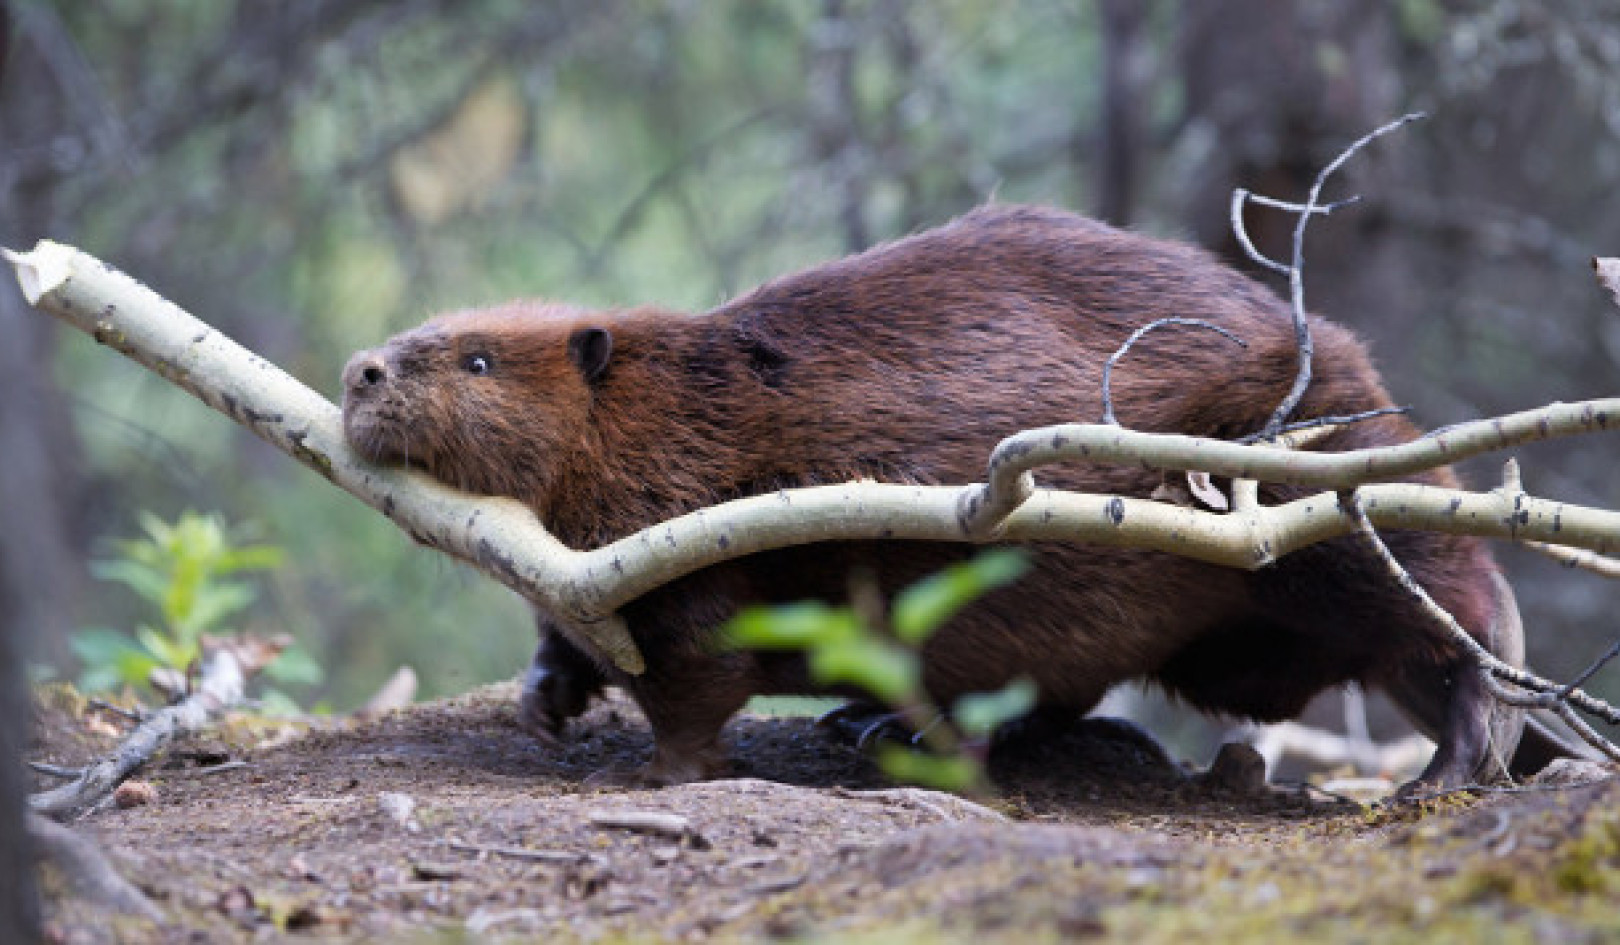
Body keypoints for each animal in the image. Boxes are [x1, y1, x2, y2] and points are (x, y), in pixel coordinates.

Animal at [341, 205, 1542, 791]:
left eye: (479, 360)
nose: (360, 371)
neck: (676, 401)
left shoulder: (698, 529)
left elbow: (699, 666)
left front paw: (664, 769)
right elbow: (572, 633)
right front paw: (545, 702)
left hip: (1318, 490)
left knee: (1451, 607)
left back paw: (1455, 760)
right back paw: (875, 721)